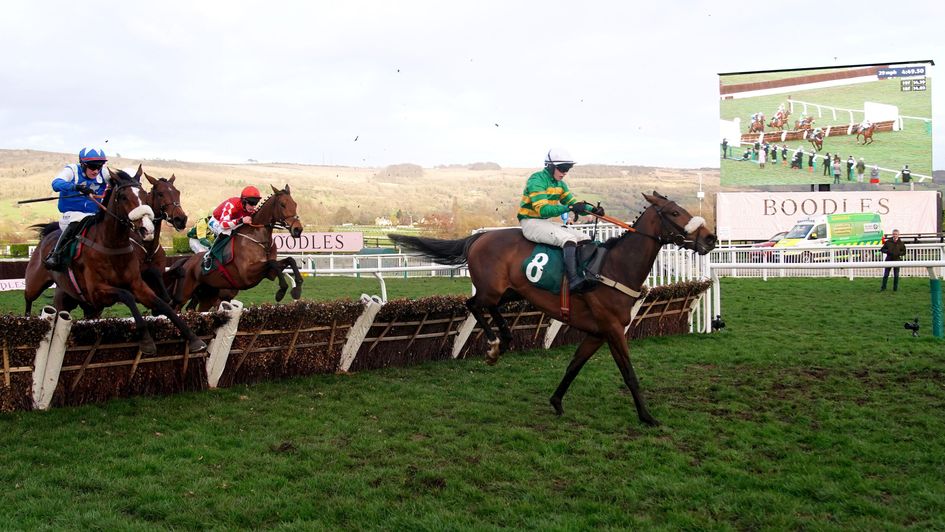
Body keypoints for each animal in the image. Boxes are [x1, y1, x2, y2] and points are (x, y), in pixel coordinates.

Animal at [23, 168, 206, 356]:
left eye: (177, 192)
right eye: (160, 193)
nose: (181, 219)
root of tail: (49, 234)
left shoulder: (138, 284)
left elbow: (165, 301)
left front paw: (193, 337)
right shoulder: (97, 291)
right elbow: (128, 295)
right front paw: (146, 340)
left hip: (86, 306)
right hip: (38, 285)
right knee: (29, 299)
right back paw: (28, 321)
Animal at [167, 184, 302, 312]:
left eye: (295, 204)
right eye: (282, 204)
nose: (298, 230)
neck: (261, 241)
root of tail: (187, 261)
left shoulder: (269, 274)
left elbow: (289, 260)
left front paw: (297, 288)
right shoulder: (247, 274)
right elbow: (272, 263)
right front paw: (281, 292)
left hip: (207, 296)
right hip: (183, 294)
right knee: (175, 307)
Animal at [388, 193, 712, 426]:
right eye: (675, 213)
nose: (710, 238)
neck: (613, 267)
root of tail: (478, 236)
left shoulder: (597, 332)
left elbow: (574, 366)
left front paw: (556, 401)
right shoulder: (612, 329)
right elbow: (629, 373)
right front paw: (647, 417)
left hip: (510, 292)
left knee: (482, 306)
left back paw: (503, 340)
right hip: (492, 290)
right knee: (475, 305)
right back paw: (495, 345)